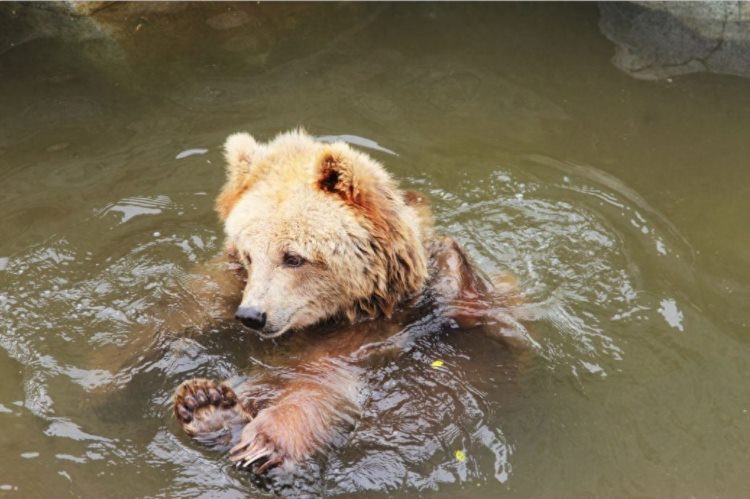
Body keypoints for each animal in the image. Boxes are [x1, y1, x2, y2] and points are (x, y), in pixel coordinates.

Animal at [170, 129, 524, 472]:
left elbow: (319, 383)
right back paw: (204, 404)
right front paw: (205, 400)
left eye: (293, 257)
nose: (252, 315)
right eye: (249, 256)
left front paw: (265, 440)